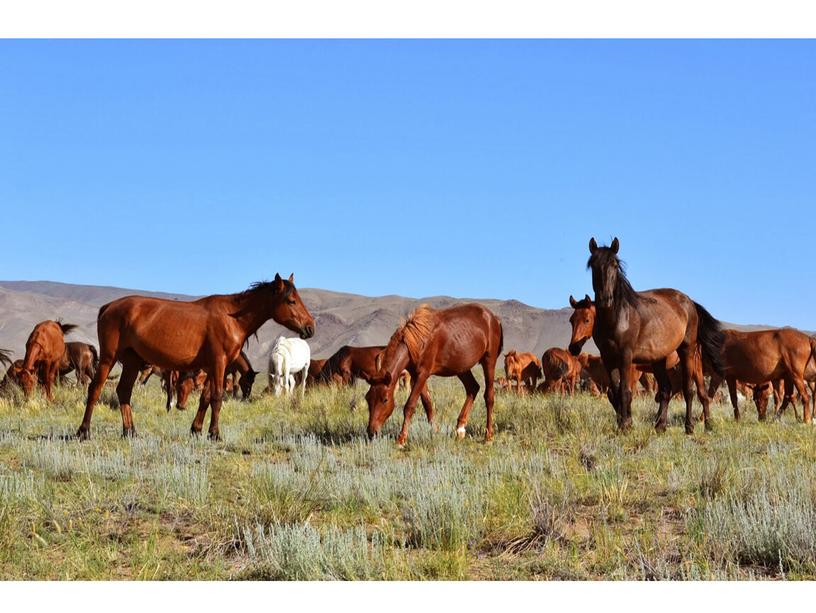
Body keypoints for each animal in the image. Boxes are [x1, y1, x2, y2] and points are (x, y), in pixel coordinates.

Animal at [78, 274, 316, 440]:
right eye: (291, 301)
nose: (310, 327)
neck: (232, 318)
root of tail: (108, 307)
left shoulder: (212, 367)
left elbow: (205, 397)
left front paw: (197, 429)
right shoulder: (219, 364)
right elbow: (217, 397)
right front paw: (215, 433)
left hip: (132, 361)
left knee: (124, 391)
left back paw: (130, 431)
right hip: (109, 358)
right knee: (95, 389)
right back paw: (84, 431)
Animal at [364, 302, 504, 442]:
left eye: (385, 399)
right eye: (367, 398)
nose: (371, 432)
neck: (417, 341)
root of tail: (494, 318)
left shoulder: (423, 374)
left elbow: (410, 405)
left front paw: (401, 439)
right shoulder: (416, 375)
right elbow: (427, 404)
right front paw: (435, 432)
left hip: (488, 361)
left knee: (489, 397)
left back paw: (488, 436)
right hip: (461, 368)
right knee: (473, 388)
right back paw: (460, 429)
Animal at [584, 239, 724, 436]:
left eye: (614, 265)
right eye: (593, 265)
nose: (605, 299)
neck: (617, 317)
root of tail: (689, 301)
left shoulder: (626, 357)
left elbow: (625, 391)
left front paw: (626, 426)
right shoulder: (608, 358)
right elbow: (615, 392)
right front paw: (622, 424)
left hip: (687, 351)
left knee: (688, 389)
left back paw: (689, 426)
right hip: (659, 359)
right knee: (666, 390)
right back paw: (660, 426)